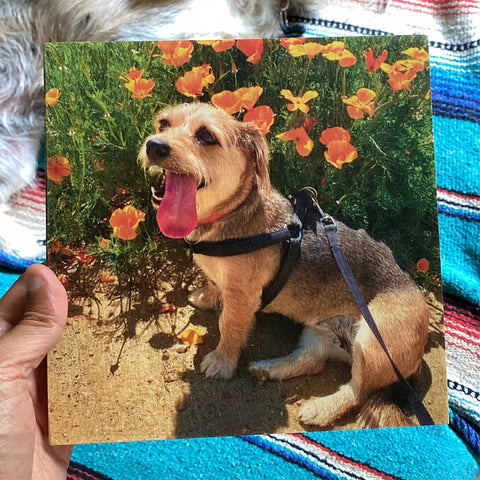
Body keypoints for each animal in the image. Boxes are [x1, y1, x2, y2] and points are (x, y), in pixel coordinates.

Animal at [137, 102, 430, 428]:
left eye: (206, 136)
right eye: (163, 123)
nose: (155, 146)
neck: (230, 213)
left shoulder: (242, 297)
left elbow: (229, 326)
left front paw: (223, 362)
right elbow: (213, 282)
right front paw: (206, 295)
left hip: (373, 343)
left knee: (358, 391)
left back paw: (320, 408)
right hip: (318, 330)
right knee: (313, 361)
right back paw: (269, 369)